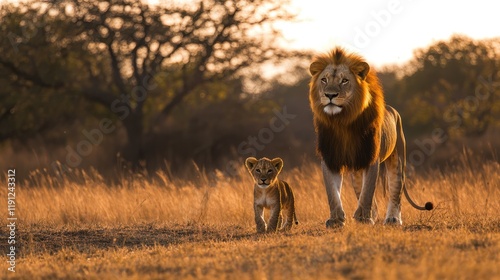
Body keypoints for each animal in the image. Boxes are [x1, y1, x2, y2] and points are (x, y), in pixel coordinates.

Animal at [306, 47, 432, 228]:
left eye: (344, 81)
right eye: (324, 79)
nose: (330, 95)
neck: (342, 121)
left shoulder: (371, 158)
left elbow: (368, 193)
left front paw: (364, 218)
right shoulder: (330, 159)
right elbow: (332, 193)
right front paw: (336, 220)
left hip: (397, 161)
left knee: (396, 192)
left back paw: (393, 219)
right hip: (357, 172)